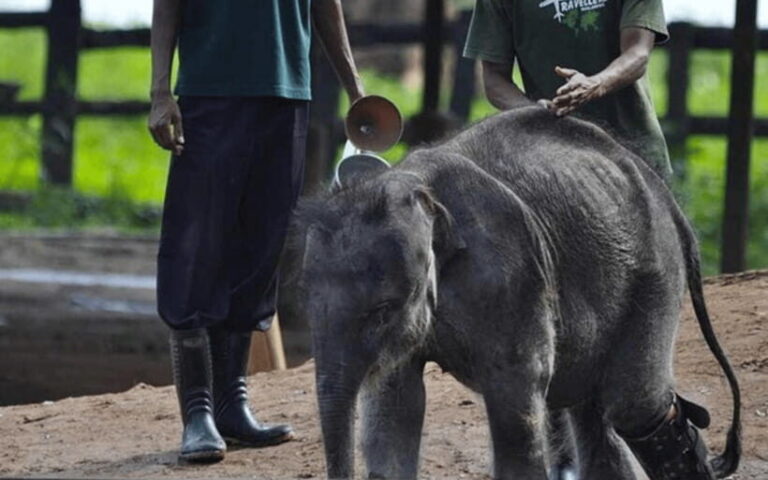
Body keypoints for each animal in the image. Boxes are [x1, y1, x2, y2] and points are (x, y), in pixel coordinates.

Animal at [280, 106, 741, 480]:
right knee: (590, 405)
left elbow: (515, 398)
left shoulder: (512, 274)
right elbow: (396, 405)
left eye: (383, 309)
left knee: (634, 404)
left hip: (654, 268)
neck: (420, 194)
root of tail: (661, 188)